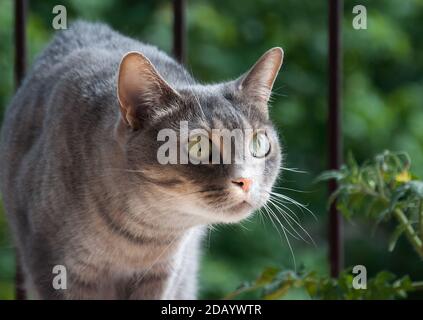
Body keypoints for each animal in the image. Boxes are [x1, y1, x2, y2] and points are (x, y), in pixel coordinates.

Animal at [0, 21, 284, 300]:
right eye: (199, 146)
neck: (142, 237)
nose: (246, 180)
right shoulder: (56, 270)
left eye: (258, 143)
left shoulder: (163, 276)